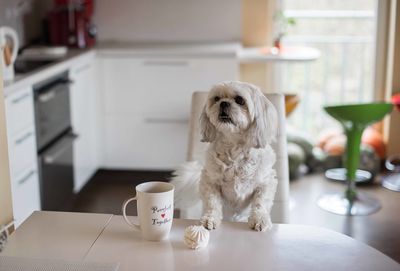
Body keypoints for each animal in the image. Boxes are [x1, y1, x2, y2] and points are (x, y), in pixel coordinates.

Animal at [172, 82, 278, 233]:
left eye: (240, 100)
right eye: (216, 98)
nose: (224, 103)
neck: (234, 149)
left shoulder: (266, 183)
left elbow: (260, 203)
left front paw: (260, 220)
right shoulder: (210, 182)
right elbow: (212, 203)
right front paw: (209, 219)